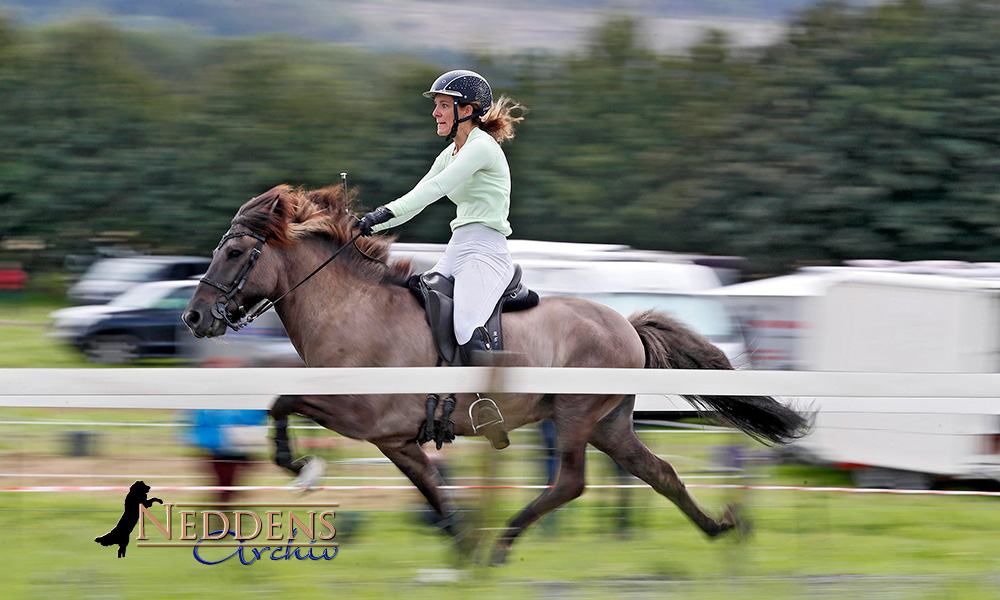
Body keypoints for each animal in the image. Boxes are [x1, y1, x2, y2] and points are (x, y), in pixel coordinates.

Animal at [180, 185, 804, 564]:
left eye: (234, 252)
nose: (194, 317)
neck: (349, 307)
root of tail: (624, 322)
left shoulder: (362, 415)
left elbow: (283, 401)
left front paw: (299, 466)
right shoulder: (393, 438)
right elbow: (433, 487)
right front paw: (462, 546)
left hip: (576, 416)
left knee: (571, 482)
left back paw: (505, 542)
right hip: (610, 424)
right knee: (659, 472)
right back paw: (721, 527)